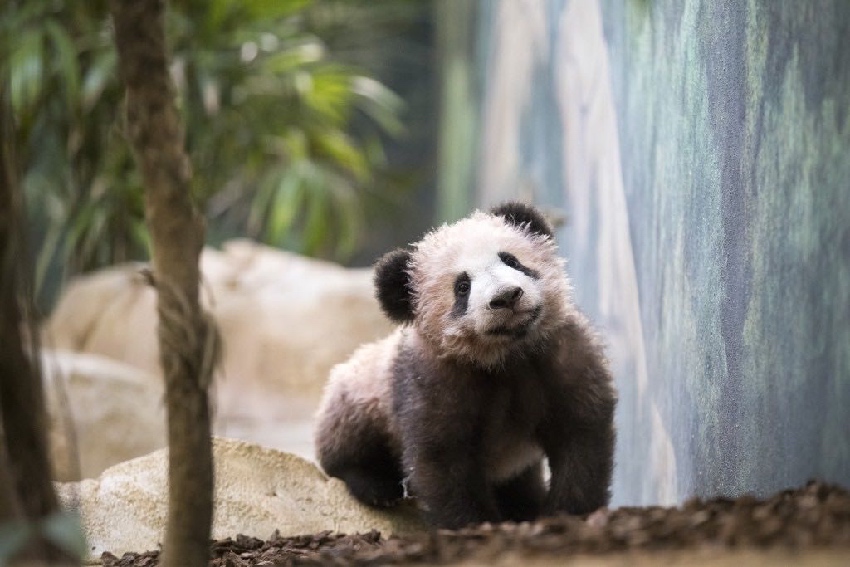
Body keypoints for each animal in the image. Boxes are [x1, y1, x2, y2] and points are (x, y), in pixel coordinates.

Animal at [314, 202, 616, 529]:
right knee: (348, 440)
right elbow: (443, 461)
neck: (507, 353)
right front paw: (475, 525)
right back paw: (376, 486)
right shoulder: (435, 380)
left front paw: (570, 514)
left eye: (511, 260)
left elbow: (581, 435)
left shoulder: (561, 354)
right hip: (362, 392)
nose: (506, 296)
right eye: (462, 286)